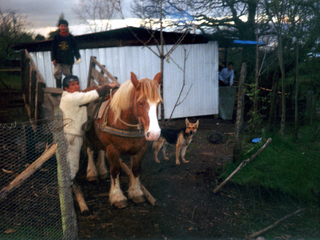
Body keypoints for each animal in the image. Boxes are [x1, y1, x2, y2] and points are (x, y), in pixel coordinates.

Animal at [86, 71, 162, 208]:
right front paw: (117, 197)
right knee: (90, 150)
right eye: (140, 102)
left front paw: (136, 193)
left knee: (100, 150)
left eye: (158, 103)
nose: (154, 134)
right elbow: (116, 171)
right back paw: (92, 173)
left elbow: (135, 169)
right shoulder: (112, 149)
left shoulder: (141, 149)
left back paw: (102, 170)